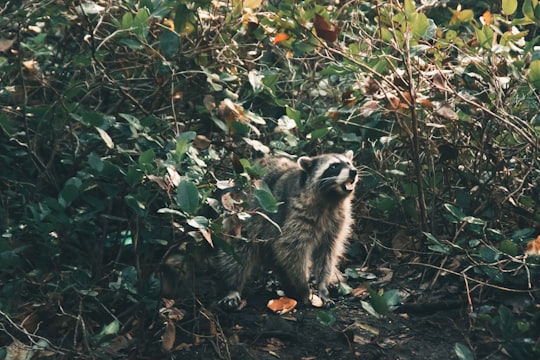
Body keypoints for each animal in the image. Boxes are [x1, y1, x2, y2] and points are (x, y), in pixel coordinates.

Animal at [217, 150, 356, 310]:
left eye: (349, 163)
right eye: (333, 166)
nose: (354, 171)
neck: (331, 199)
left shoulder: (337, 220)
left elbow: (326, 254)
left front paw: (323, 287)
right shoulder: (295, 213)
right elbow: (290, 249)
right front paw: (304, 288)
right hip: (242, 214)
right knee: (238, 251)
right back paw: (233, 287)